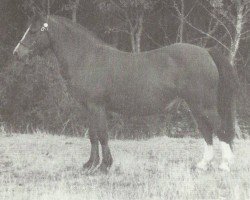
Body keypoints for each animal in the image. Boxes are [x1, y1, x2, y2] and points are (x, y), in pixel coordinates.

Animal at [13, 13, 238, 173]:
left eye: (33, 31)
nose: (17, 53)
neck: (86, 57)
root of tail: (206, 52)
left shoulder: (97, 106)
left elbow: (103, 134)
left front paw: (104, 166)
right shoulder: (87, 108)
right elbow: (93, 135)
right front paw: (90, 164)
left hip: (204, 106)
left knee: (221, 129)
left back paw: (225, 165)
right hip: (195, 106)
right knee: (207, 132)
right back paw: (203, 165)